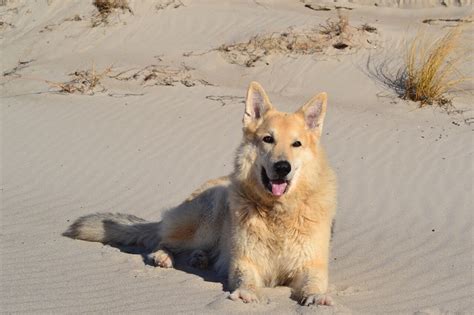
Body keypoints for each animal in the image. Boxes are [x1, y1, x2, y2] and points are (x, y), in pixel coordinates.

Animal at [64, 81, 336, 306]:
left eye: (296, 144)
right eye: (268, 139)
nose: (282, 167)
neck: (278, 211)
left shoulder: (311, 265)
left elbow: (315, 282)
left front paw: (317, 296)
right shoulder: (245, 261)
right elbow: (245, 278)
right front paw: (247, 293)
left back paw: (200, 259)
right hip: (208, 216)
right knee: (162, 241)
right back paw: (165, 257)